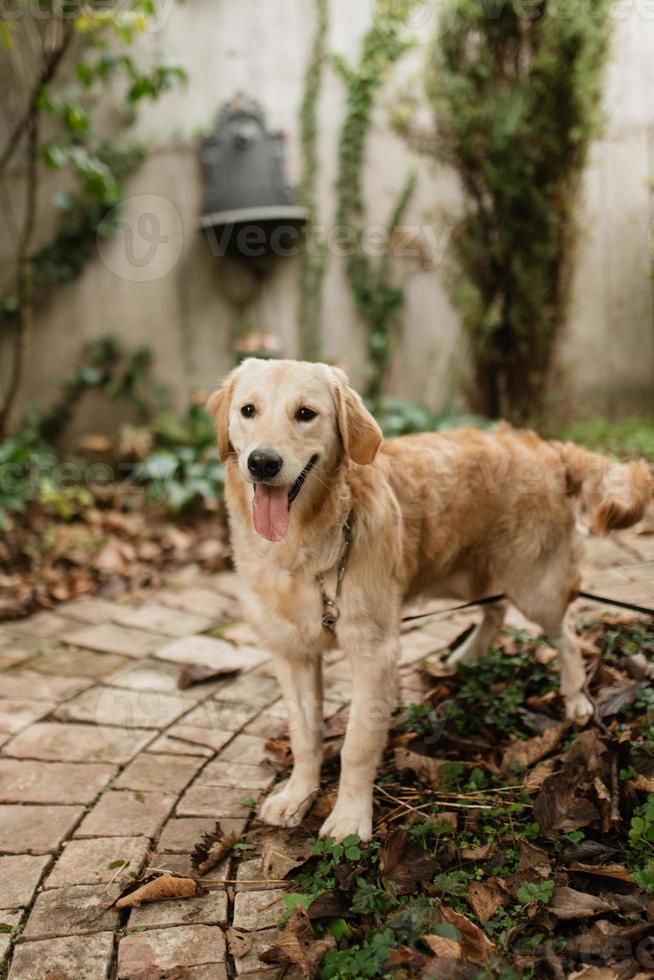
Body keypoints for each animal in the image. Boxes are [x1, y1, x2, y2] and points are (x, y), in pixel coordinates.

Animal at [209, 360, 652, 844]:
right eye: (248, 410)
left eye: (305, 414)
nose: (262, 462)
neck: (308, 543)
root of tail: (546, 446)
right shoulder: (293, 654)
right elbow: (305, 736)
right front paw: (298, 795)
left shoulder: (375, 653)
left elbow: (357, 744)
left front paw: (349, 817)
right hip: (467, 572)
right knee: (495, 610)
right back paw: (466, 657)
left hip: (535, 585)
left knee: (567, 633)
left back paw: (575, 699)